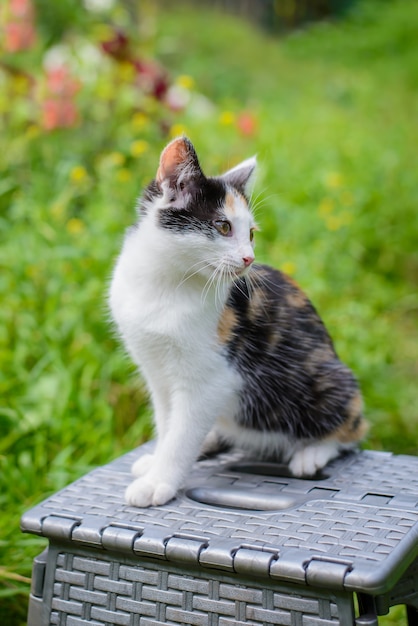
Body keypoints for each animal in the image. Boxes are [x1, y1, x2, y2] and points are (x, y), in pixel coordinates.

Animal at [108, 136, 366, 508]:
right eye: (223, 226)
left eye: (252, 234)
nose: (249, 258)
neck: (165, 282)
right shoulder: (156, 372)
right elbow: (169, 425)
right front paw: (157, 462)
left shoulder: (214, 378)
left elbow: (181, 435)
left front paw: (159, 481)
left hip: (329, 381)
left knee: (353, 429)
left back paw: (311, 454)